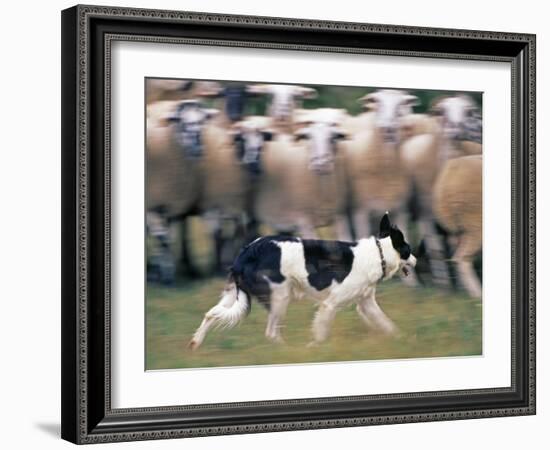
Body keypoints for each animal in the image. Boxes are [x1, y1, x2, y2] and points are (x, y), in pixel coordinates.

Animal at [191, 214, 418, 348]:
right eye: (408, 250)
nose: (416, 260)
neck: (379, 253)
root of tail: (245, 253)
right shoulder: (330, 304)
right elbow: (321, 332)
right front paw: (314, 348)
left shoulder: (366, 303)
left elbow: (386, 323)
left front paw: (402, 339)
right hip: (280, 297)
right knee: (271, 333)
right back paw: (286, 351)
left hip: (234, 295)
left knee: (211, 313)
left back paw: (196, 343)